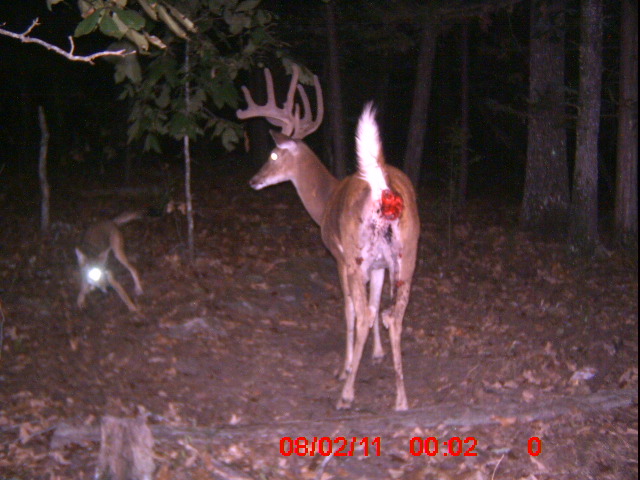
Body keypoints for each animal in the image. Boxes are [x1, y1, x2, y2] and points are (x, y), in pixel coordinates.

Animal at [236, 66, 420, 412]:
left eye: (273, 154)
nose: (254, 181)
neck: (325, 199)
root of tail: (384, 190)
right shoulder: (379, 265)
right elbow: (376, 304)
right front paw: (377, 355)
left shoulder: (339, 256)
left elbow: (351, 310)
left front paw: (346, 367)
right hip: (407, 256)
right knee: (395, 315)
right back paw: (401, 398)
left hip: (357, 253)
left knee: (362, 314)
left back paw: (346, 394)